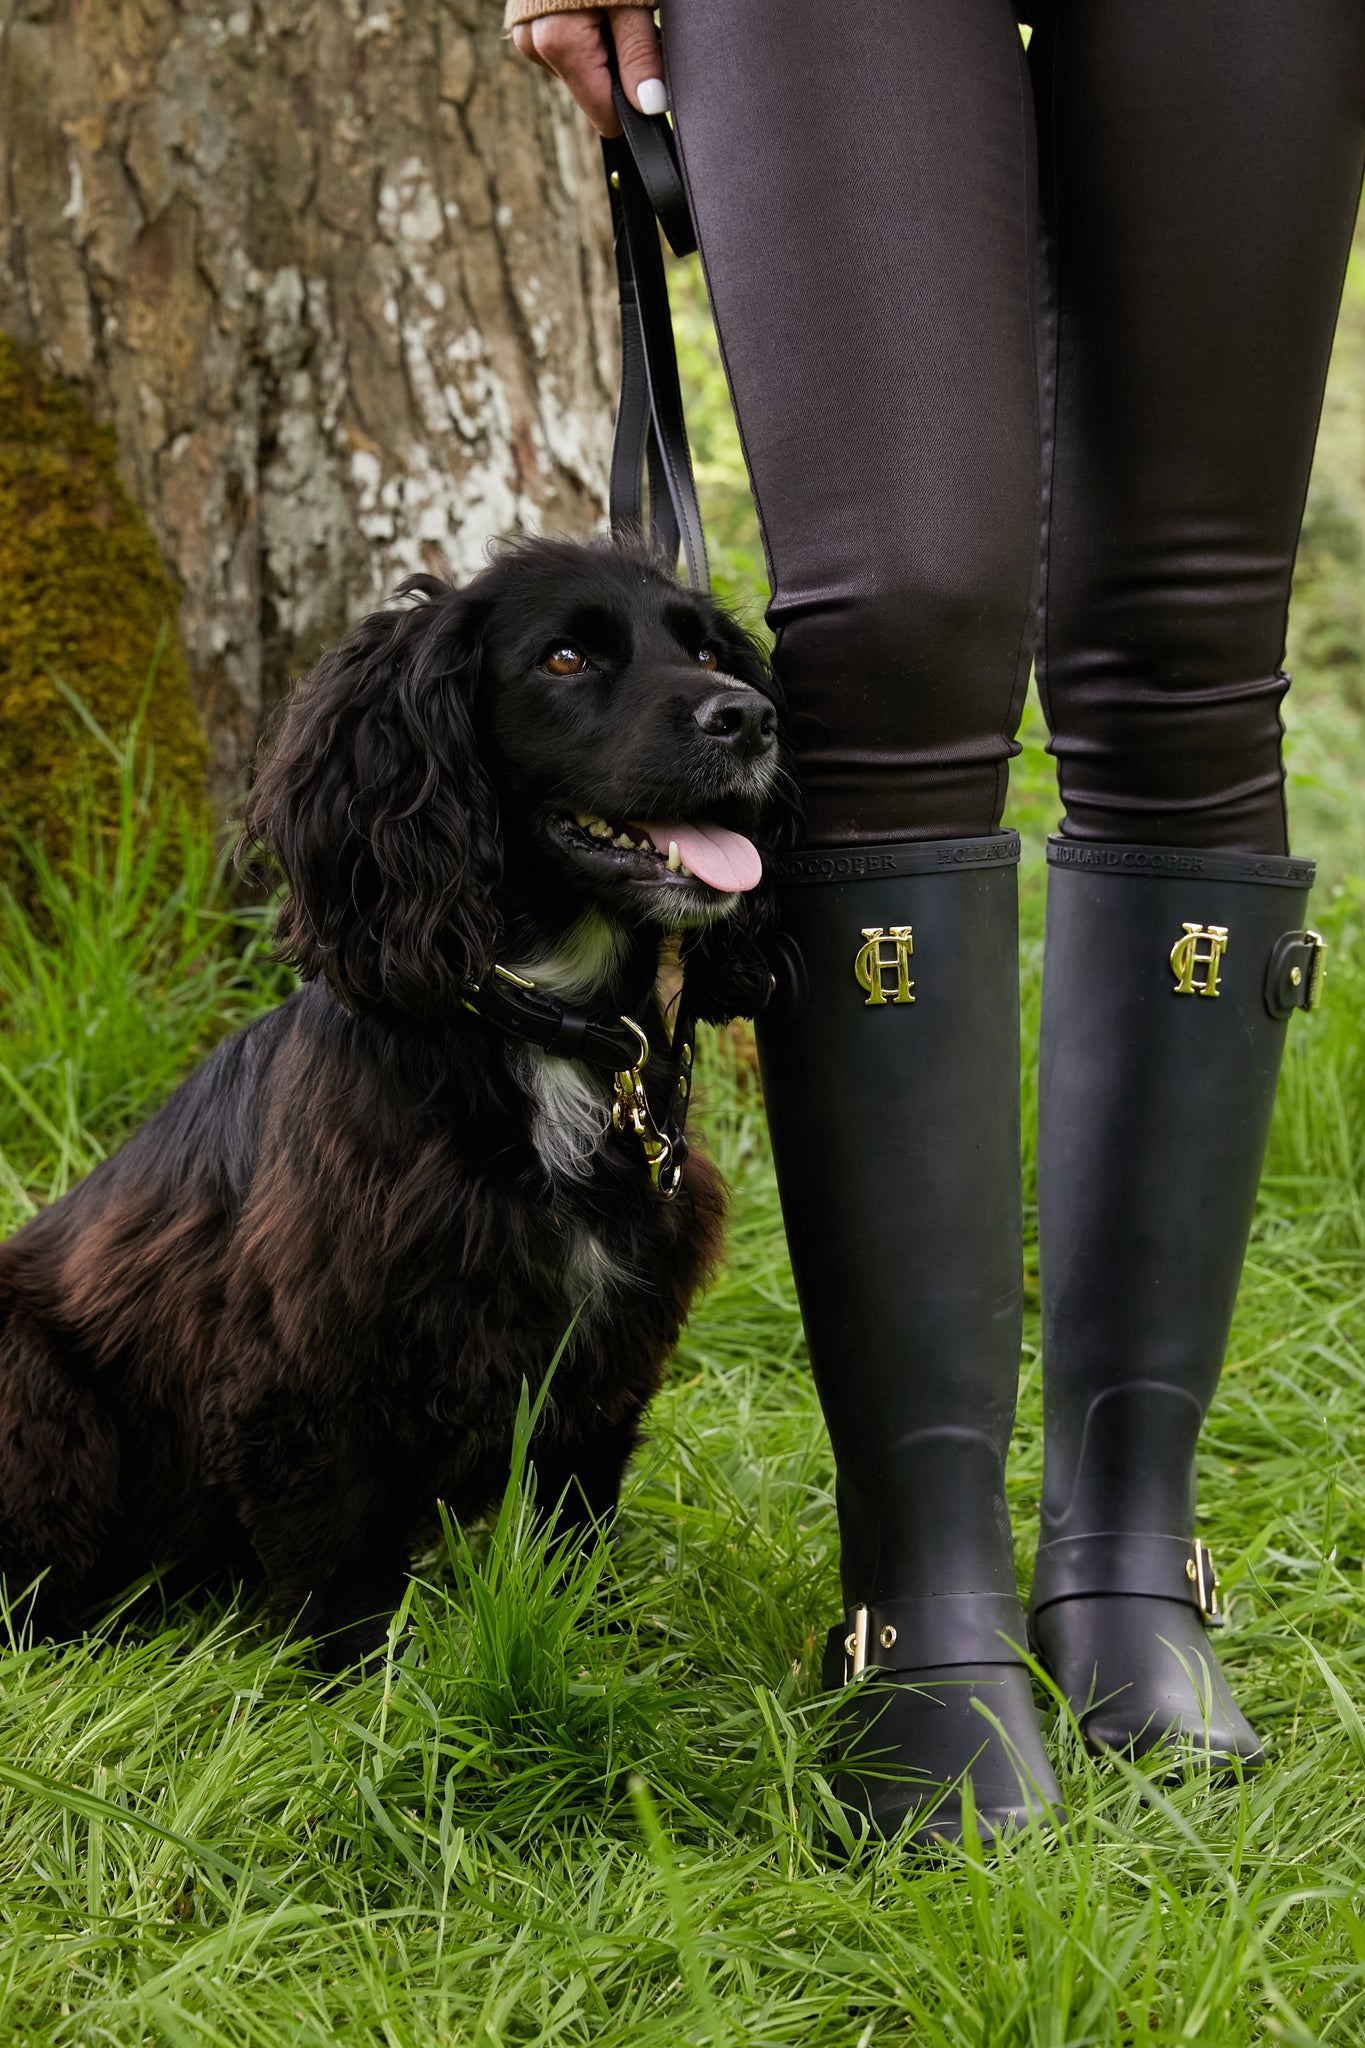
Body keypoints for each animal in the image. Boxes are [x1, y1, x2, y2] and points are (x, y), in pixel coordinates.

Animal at [0, 532, 789, 1662]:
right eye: (564, 658)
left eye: (707, 648)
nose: (753, 717)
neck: (541, 1030)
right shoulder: (307, 1369)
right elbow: (344, 1570)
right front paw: (369, 1690)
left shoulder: (602, 1348)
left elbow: (575, 1529)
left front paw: (593, 1648)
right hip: (26, 1372)